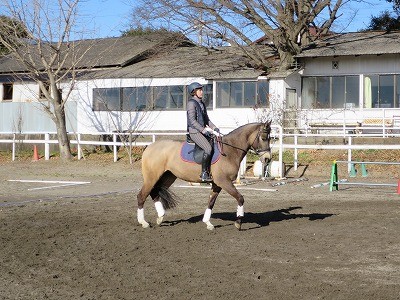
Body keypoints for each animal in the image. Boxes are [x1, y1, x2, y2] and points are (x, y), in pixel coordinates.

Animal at [137, 120, 272, 231]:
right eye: (263, 138)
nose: (267, 159)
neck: (230, 151)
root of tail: (149, 147)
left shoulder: (217, 184)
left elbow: (211, 202)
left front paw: (208, 223)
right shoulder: (224, 181)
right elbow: (240, 198)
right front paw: (238, 222)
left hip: (168, 177)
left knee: (154, 192)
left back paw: (160, 217)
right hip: (152, 177)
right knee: (142, 195)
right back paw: (143, 222)